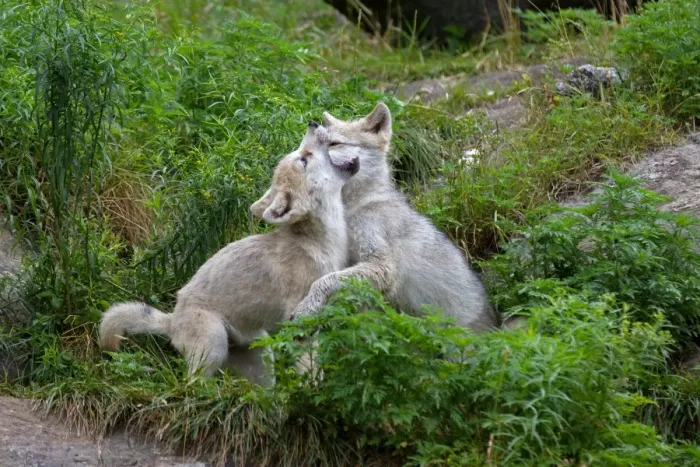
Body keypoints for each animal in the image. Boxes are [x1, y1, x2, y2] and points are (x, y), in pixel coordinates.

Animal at [99, 122, 359, 382]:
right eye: (303, 159)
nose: (312, 123)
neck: (320, 242)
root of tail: (172, 320)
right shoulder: (300, 324)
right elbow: (309, 372)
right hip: (214, 345)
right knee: (191, 384)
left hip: (263, 358)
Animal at [287, 103, 499, 331]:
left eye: (334, 143)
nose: (312, 123)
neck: (356, 205)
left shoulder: (382, 266)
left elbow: (323, 281)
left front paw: (306, 308)